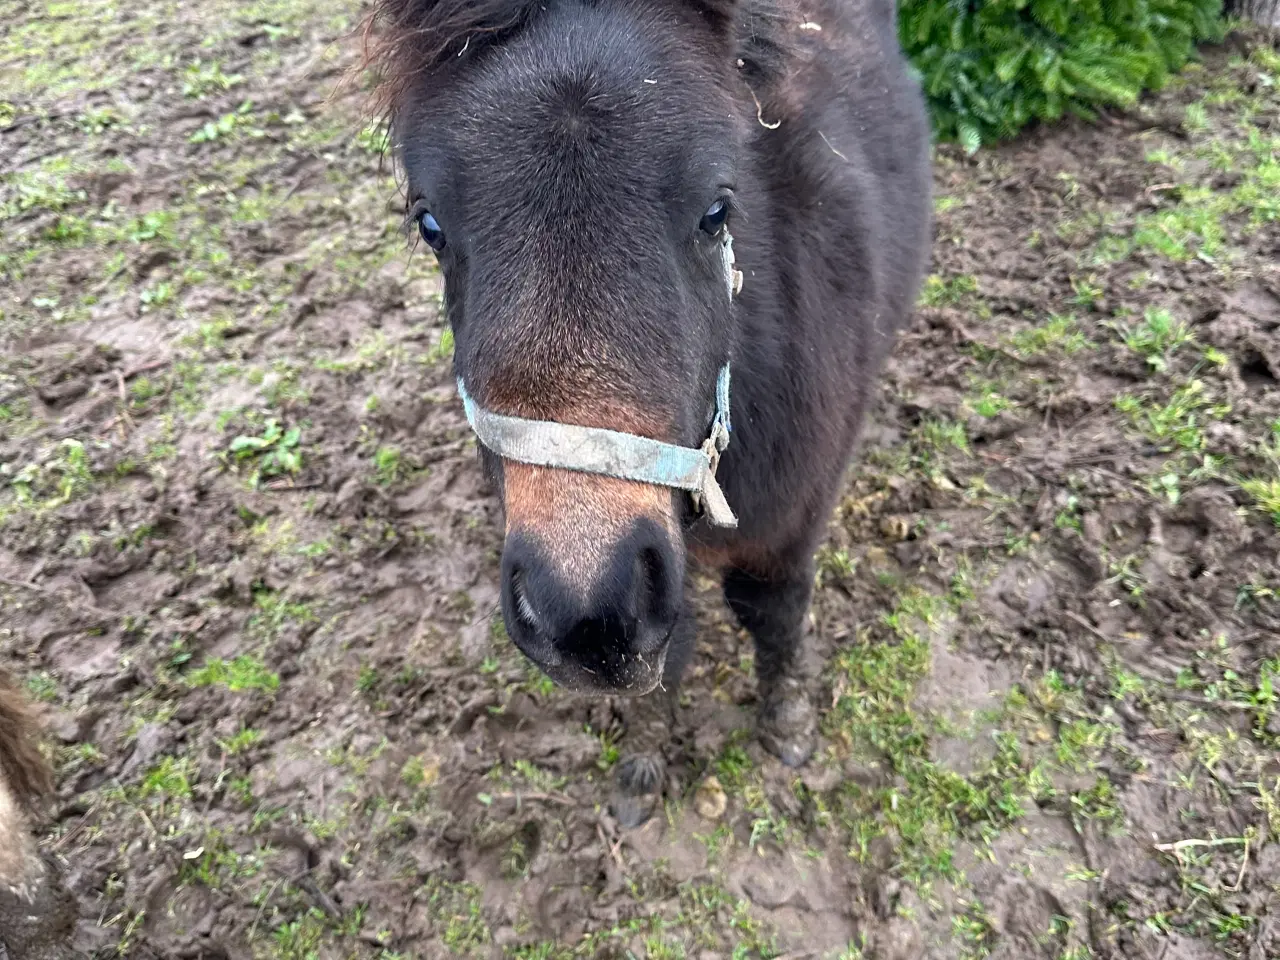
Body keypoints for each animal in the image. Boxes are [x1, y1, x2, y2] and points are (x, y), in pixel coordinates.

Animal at [360, 0, 931, 829]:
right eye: (430, 225)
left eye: (718, 209)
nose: (587, 617)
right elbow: (672, 653)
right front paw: (643, 763)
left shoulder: (792, 517)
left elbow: (774, 610)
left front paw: (788, 726)